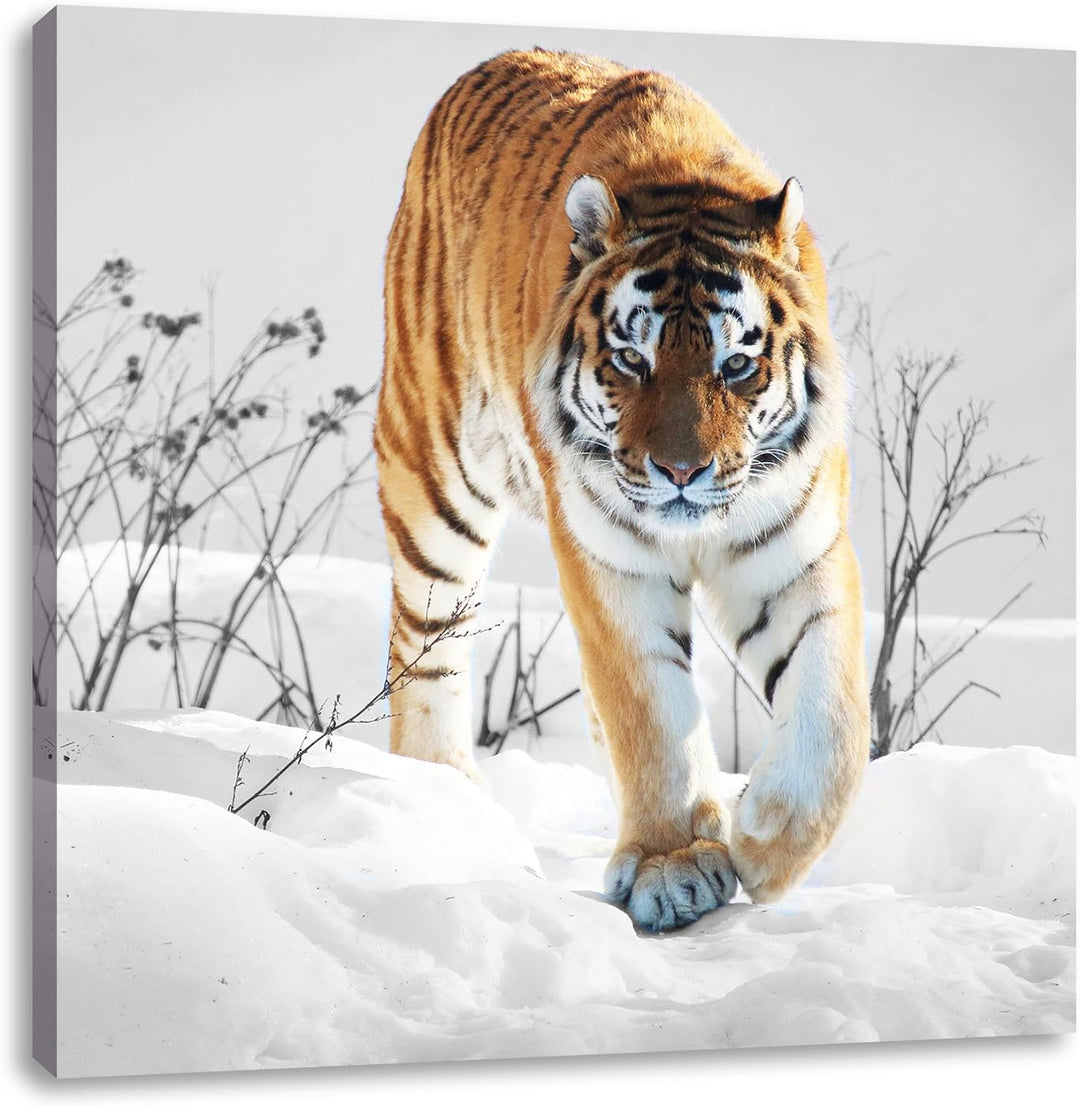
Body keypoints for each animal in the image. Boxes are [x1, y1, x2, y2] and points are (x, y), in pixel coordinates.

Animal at [374, 48, 871, 931]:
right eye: (632, 360)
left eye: (735, 364)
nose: (681, 471)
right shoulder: (610, 560)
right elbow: (650, 709)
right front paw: (675, 864)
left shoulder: (795, 549)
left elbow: (834, 711)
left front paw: (767, 837)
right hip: (433, 475)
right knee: (426, 642)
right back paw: (445, 795)